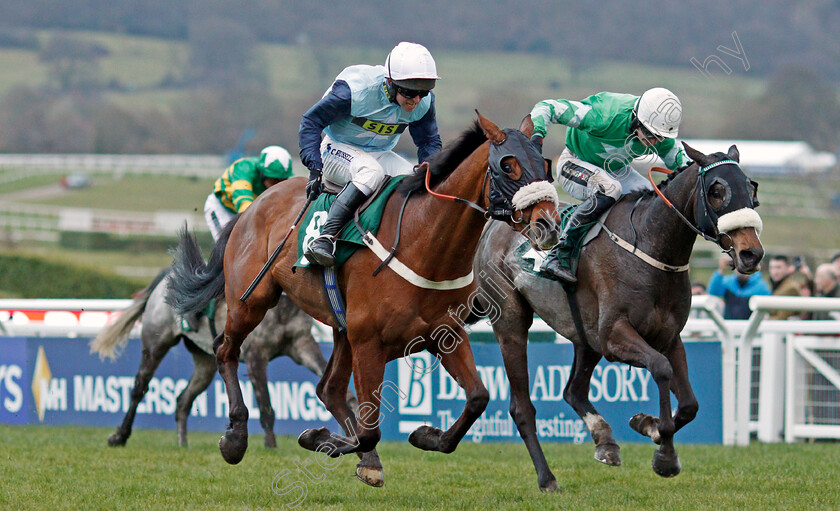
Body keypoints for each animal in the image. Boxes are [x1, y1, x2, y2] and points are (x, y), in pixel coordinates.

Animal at [88, 270, 344, 450]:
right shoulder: (256, 356)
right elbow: (266, 406)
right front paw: (271, 446)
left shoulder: (302, 344)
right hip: (155, 344)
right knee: (139, 388)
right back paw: (119, 435)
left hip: (205, 362)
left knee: (183, 400)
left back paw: (182, 443)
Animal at [164, 112, 556, 484]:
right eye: (508, 165)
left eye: (544, 163)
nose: (548, 224)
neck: (422, 240)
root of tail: (254, 206)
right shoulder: (370, 341)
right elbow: (369, 431)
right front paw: (320, 438)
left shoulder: (445, 333)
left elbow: (477, 398)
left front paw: (425, 436)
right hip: (251, 301)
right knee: (225, 350)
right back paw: (236, 438)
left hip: (340, 328)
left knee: (329, 389)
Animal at [476, 143, 764, 492]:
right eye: (717, 190)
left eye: (751, 188)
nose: (752, 254)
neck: (652, 249)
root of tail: (496, 224)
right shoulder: (615, 336)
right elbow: (661, 369)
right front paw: (665, 454)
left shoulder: (669, 337)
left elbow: (690, 404)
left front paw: (647, 425)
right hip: (511, 321)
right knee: (522, 407)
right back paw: (547, 479)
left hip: (586, 336)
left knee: (573, 390)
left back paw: (605, 442)